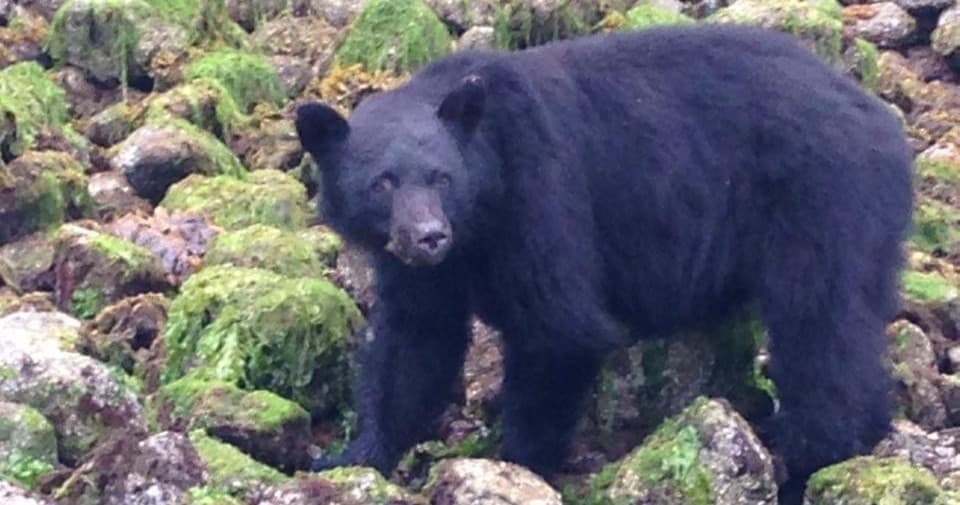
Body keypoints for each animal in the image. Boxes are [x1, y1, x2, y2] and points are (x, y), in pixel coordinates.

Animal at [294, 23, 914, 504]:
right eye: (383, 182)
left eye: (441, 177)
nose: (428, 236)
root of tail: (883, 122)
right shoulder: (422, 268)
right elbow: (415, 343)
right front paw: (350, 457)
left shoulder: (539, 196)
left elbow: (560, 328)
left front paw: (516, 464)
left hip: (825, 203)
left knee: (820, 332)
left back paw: (813, 463)